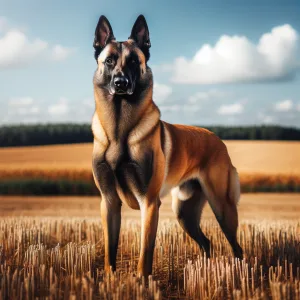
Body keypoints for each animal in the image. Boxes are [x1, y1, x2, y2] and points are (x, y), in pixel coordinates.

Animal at [91, 14, 244, 276]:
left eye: (134, 61)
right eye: (109, 60)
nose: (121, 83)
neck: (120, 128)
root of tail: (218, 140)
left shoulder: (149, 202)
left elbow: (145, 254)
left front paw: (141, 281)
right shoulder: (108, 201)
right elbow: (110, 252)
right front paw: (110, 281)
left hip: (223, 208)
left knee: (237, 248)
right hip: (185, 214)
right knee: (207, 243)